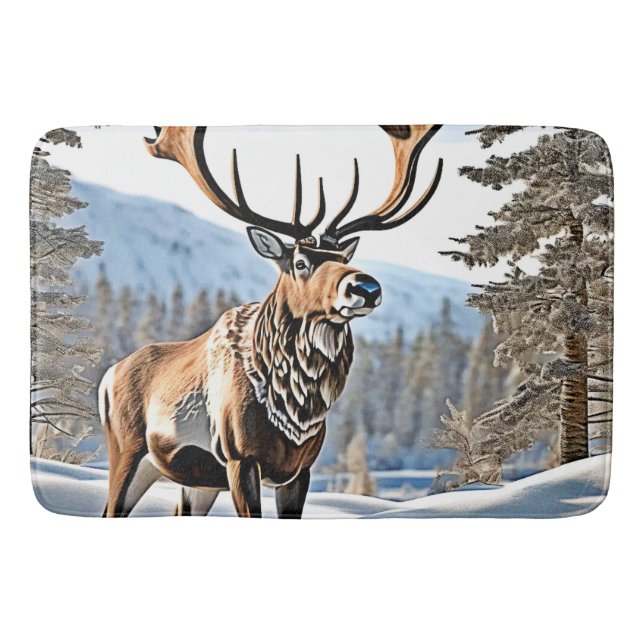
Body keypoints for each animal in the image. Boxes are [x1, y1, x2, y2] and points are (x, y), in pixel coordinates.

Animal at [99, 124, 443, 518]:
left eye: (343, 257)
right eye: (300, 262)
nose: (365, 287)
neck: (297, 406)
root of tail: (109, 376)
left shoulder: (301, 468)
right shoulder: (241, 457)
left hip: (195, 482)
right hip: (127, 451)